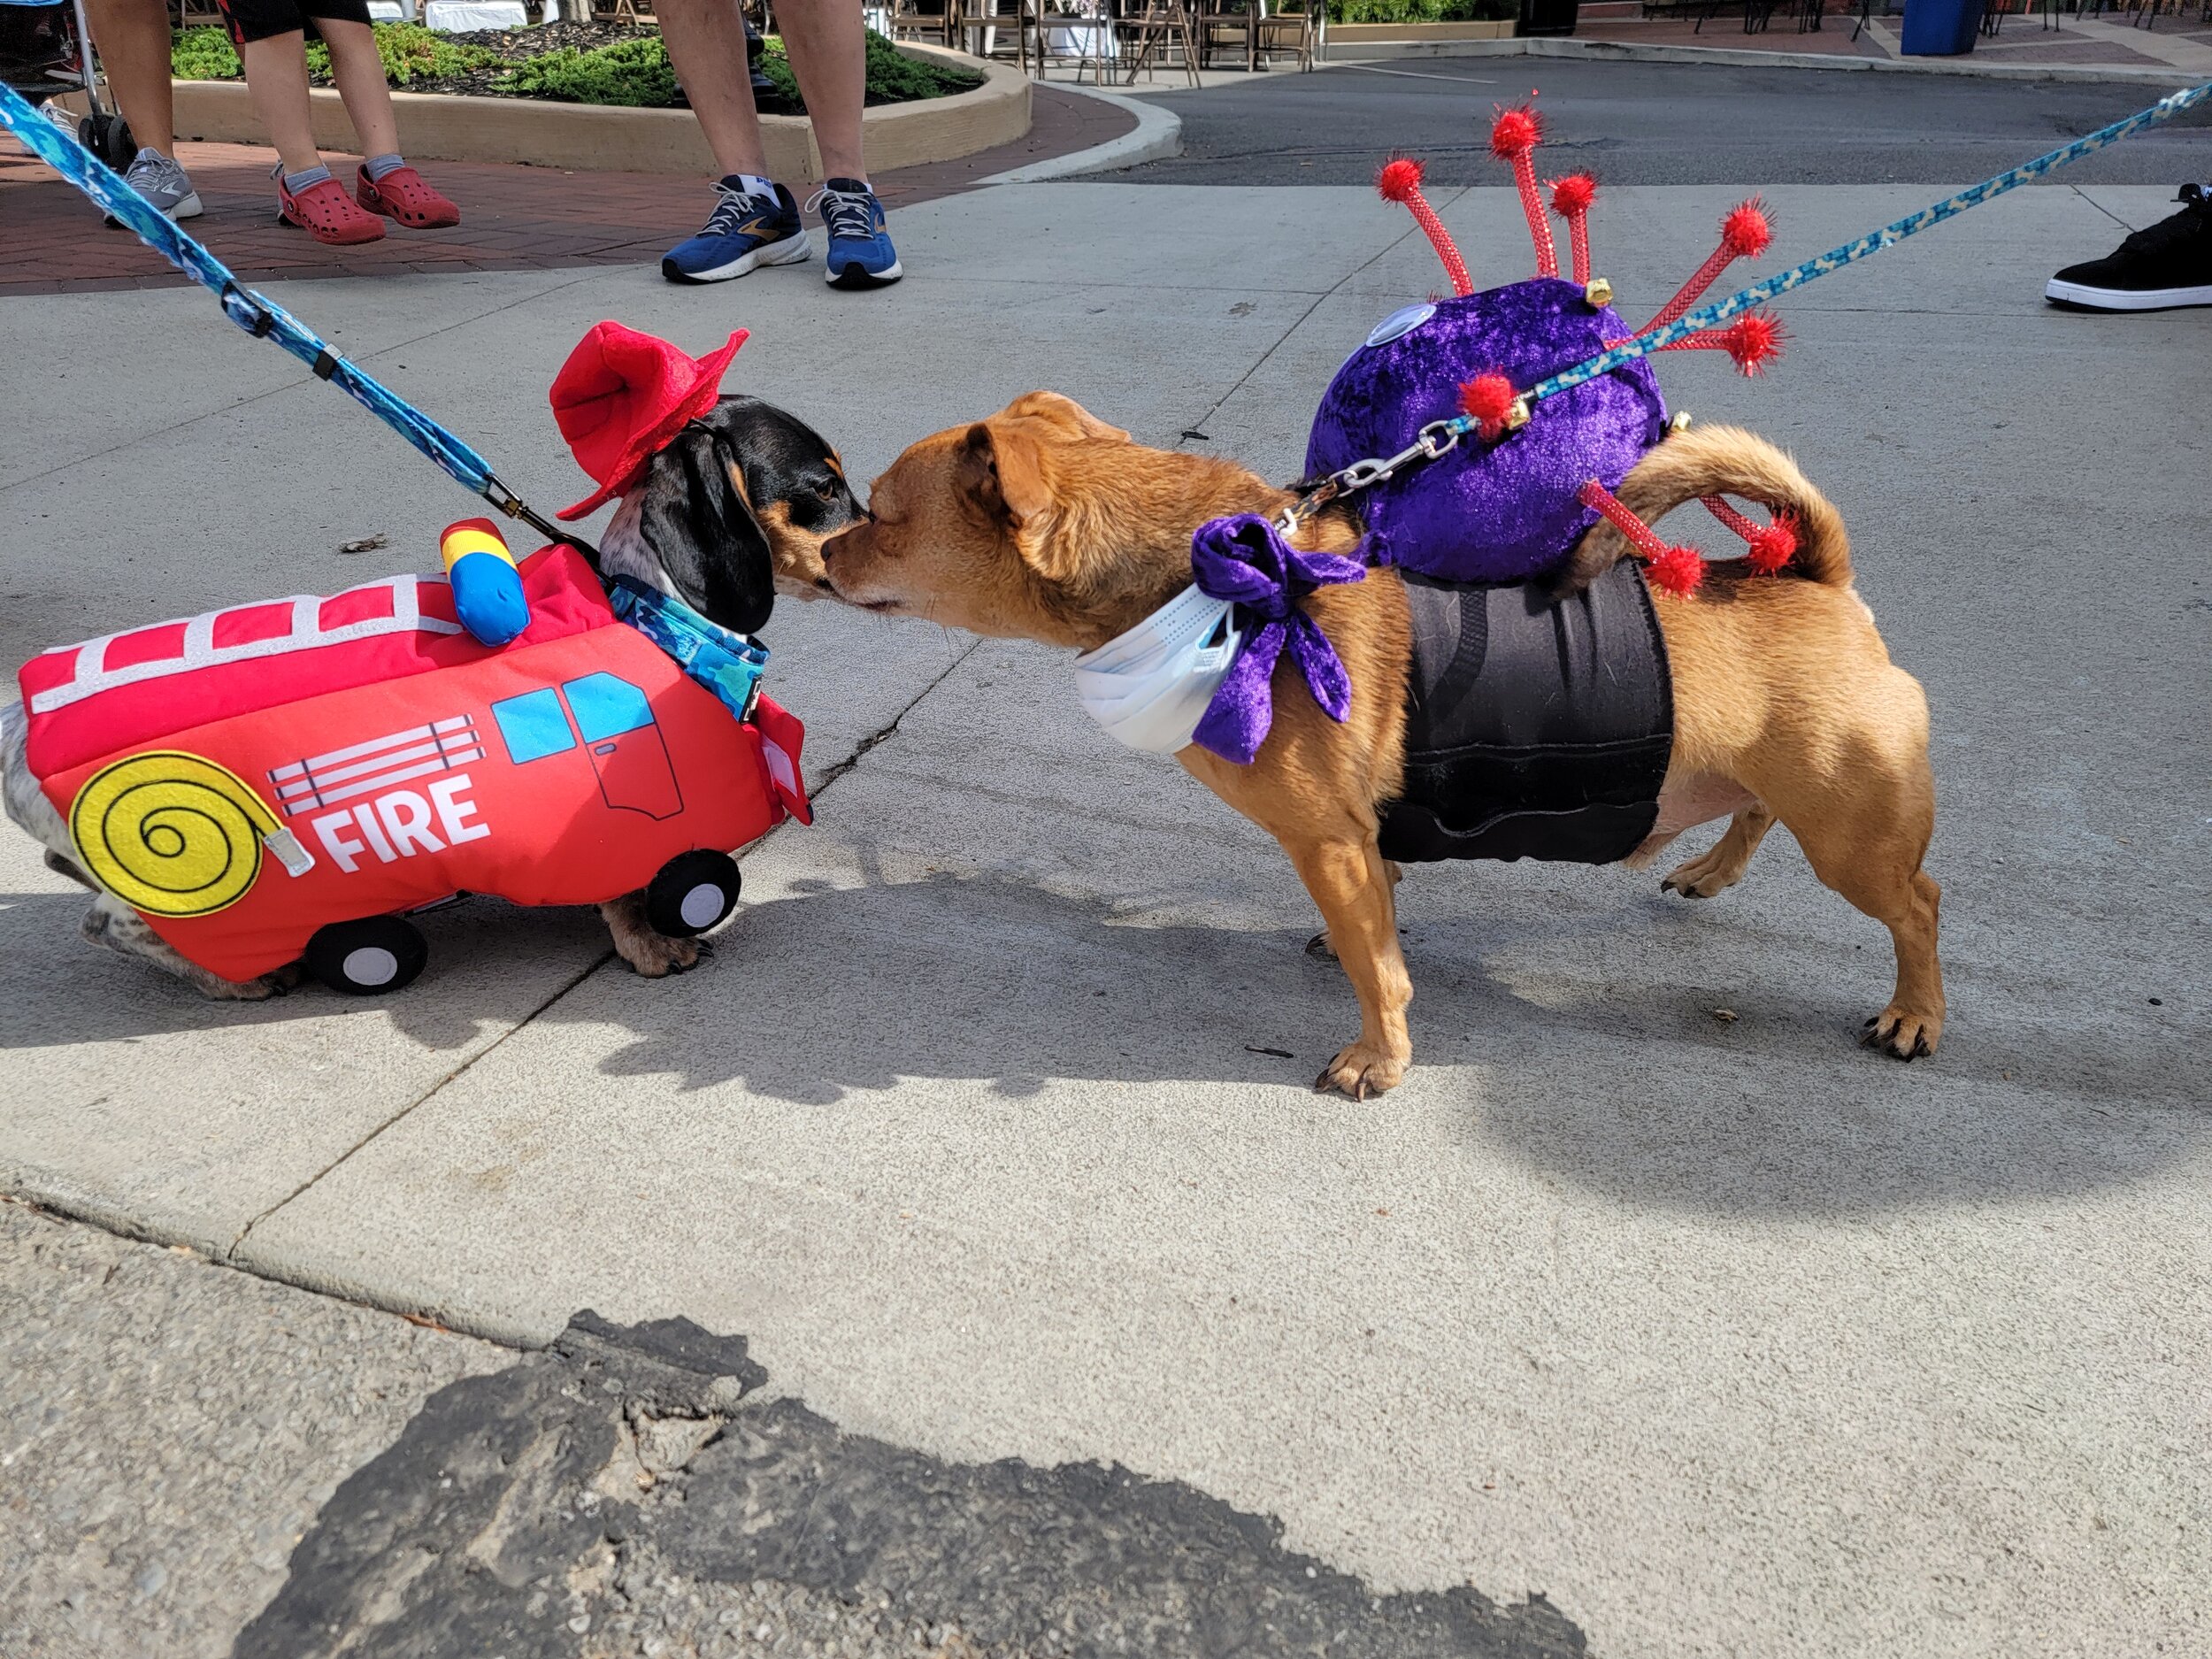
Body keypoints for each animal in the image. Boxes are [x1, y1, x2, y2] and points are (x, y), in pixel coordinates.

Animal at [827, 389, 1938, 1093]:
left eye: (878, 516)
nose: (820, 549)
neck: (1219, 580)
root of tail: (1810, 575)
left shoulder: (1325, 841)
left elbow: (1379, 971)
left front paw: (1379, 1056)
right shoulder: (1359, 843)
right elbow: (1380, 919)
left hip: (1852, 836)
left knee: (1916, 907)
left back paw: (1914, 1012)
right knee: (1755, 811)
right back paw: (1710, 869)